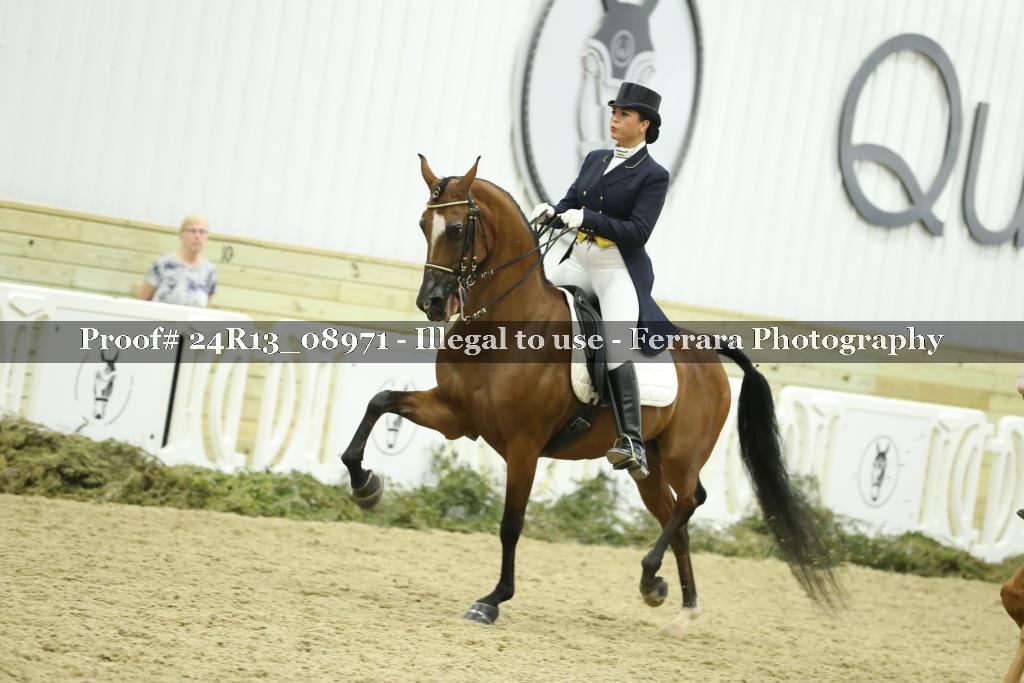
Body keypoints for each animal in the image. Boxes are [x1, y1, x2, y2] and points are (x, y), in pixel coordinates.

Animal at [340, 155, 841, 636]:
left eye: (459, 229)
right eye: (424, 224)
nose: (432, 303)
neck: (508, 324)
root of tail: (705, 349)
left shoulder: (523, 447)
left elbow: (511, 524)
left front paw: (492, 600)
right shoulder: (455, 416)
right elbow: (380, 402)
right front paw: (365, 486)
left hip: (682, 455)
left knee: (690, 501)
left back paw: (654, 578)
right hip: (649, 467)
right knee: (673, 516)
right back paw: (676, 605)